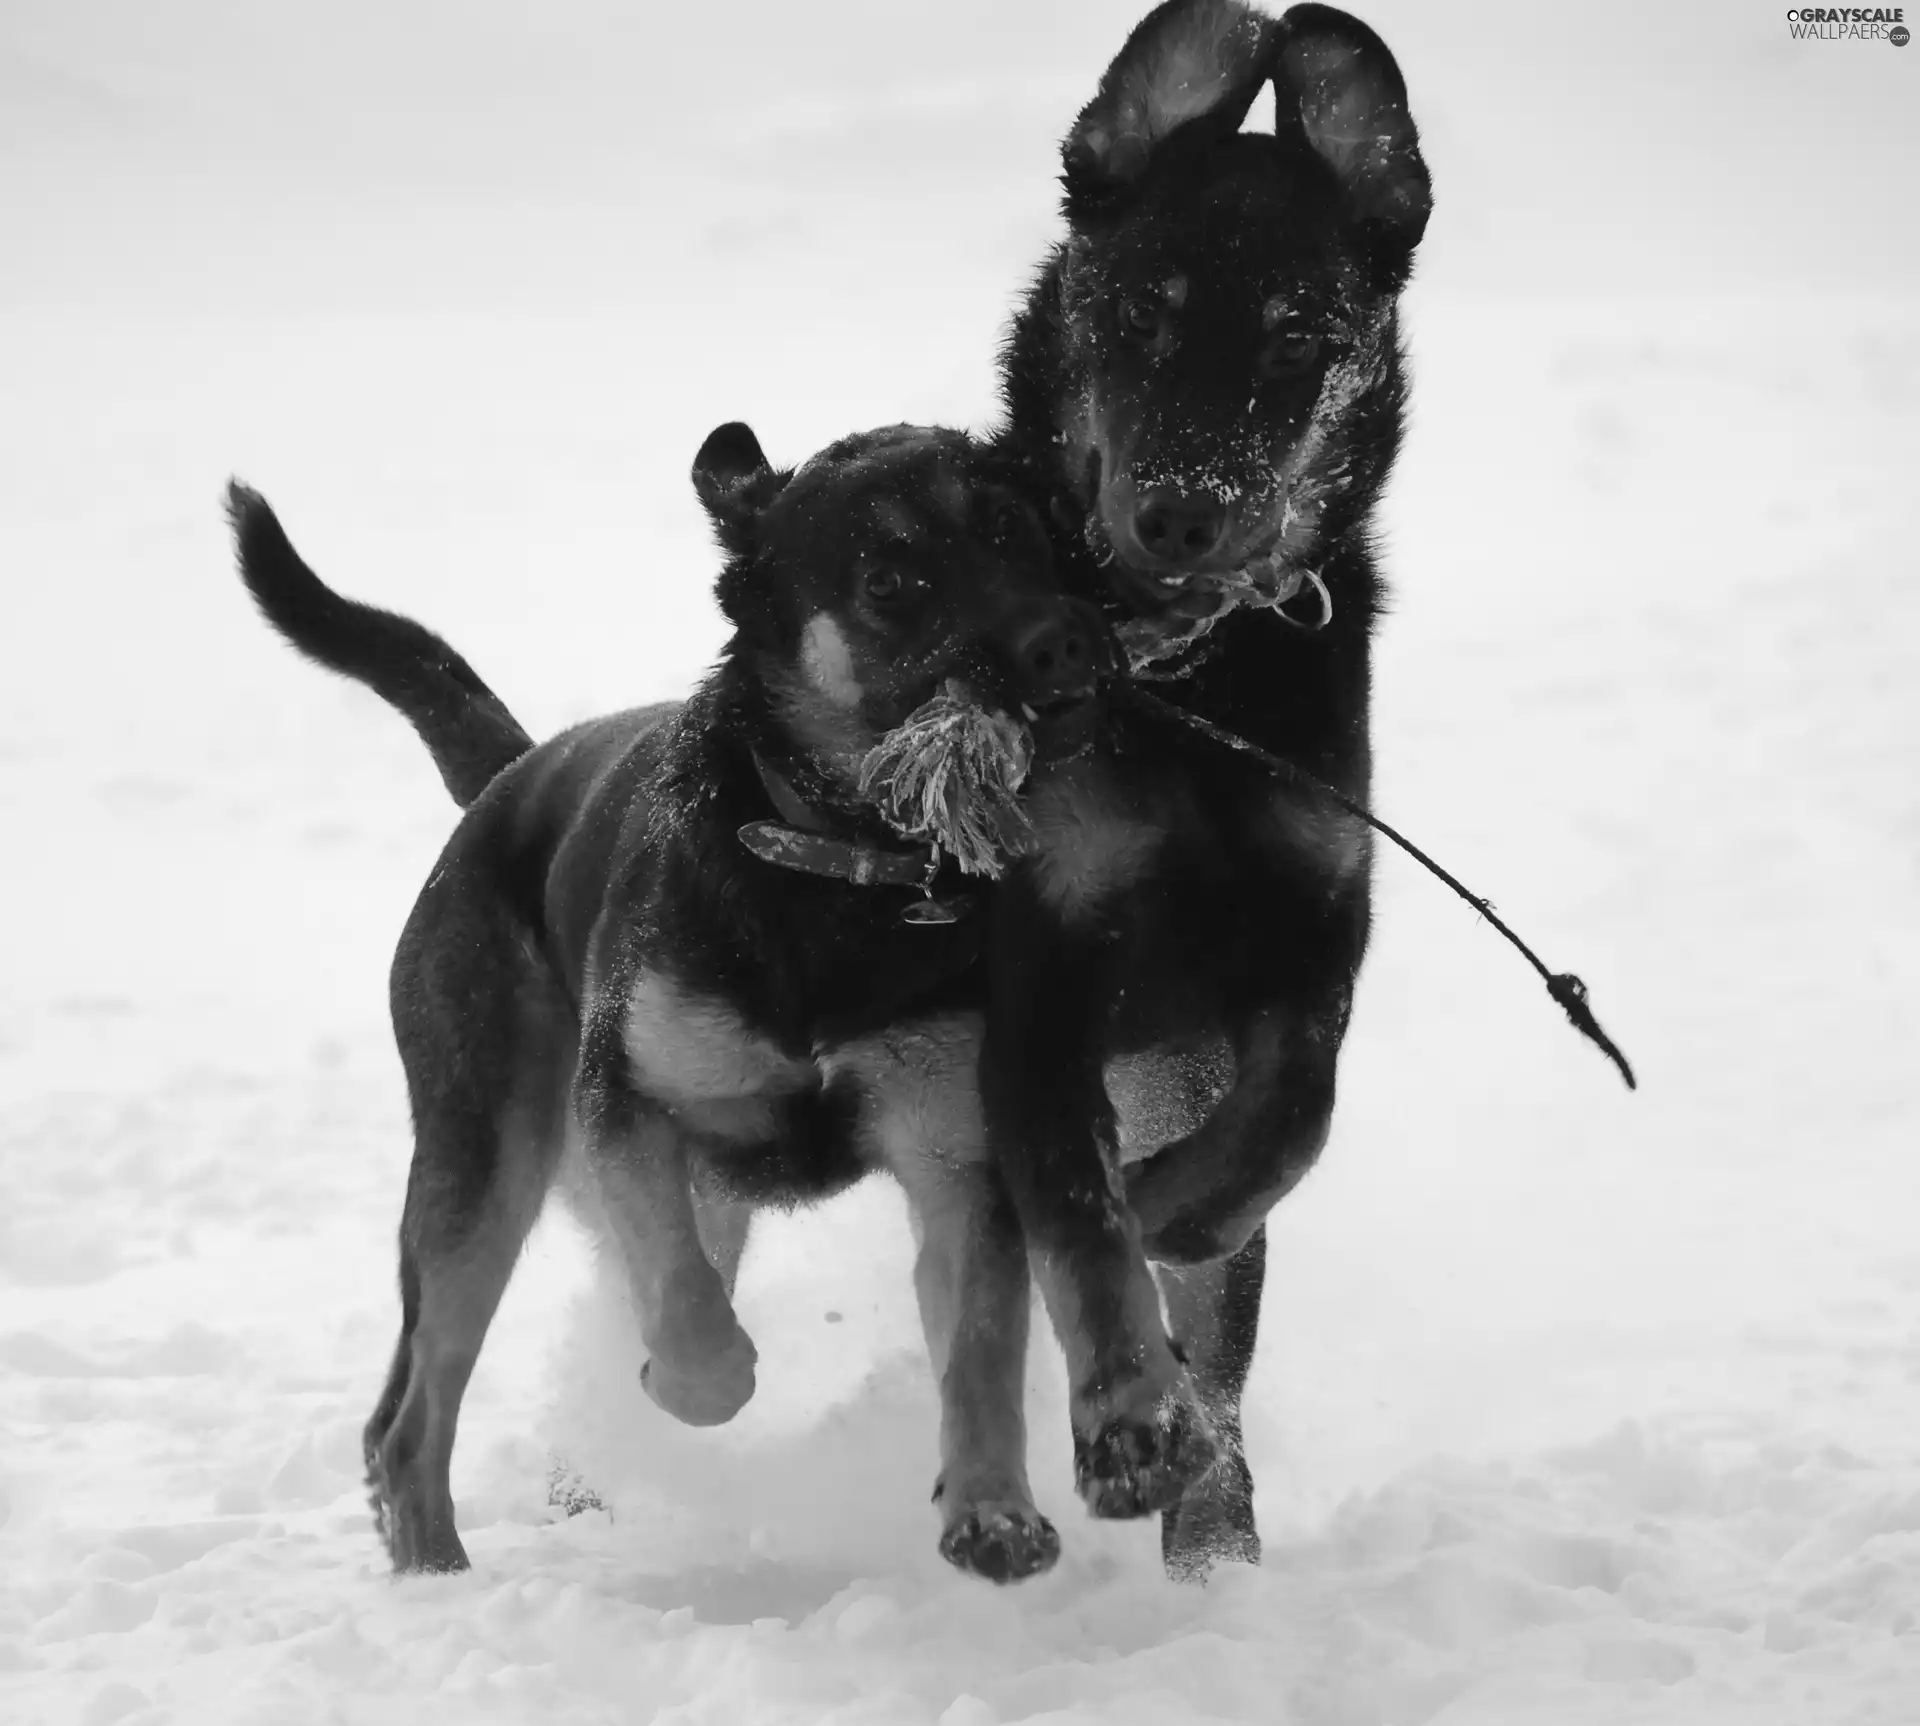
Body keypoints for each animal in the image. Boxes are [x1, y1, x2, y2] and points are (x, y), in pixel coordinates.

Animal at [222, 424, 1105, 1589]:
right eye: (891, 578)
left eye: (1018, 531)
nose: (1068, 644)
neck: (836, 876)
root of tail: (510, 778)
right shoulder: (630, 1109)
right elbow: (690, 1324)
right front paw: (680, 1383)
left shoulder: (958, 1160)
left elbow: (981, 1348)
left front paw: (994, 1510)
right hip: (483, 1160)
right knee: (411, 1415)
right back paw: (437, 1575)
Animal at [990, 0, 1428, 1582]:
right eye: (1139, 315)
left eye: (1302, 339)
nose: (1184, 513)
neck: (1196, 685)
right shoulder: (1046, 957)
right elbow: (1078, 1212)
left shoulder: (1313, 930)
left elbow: (1287, 1119)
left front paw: (1177, 1209)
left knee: (1222, 1354)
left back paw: (1216, 1537)